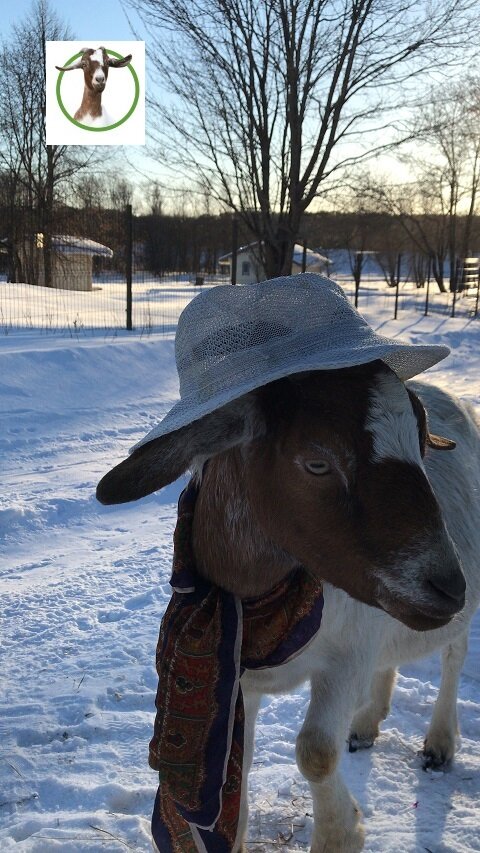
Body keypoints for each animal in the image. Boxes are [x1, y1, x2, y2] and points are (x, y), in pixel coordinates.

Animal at [97, 362, 480, 852]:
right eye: (317, 463)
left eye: (421, 446)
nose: (447, 584)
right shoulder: (239, 681)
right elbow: (235, 765)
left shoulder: (345, 660)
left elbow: (316, 751)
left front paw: (341, 833)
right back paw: (365, 724)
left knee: (455, 654)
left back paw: (439, 742)